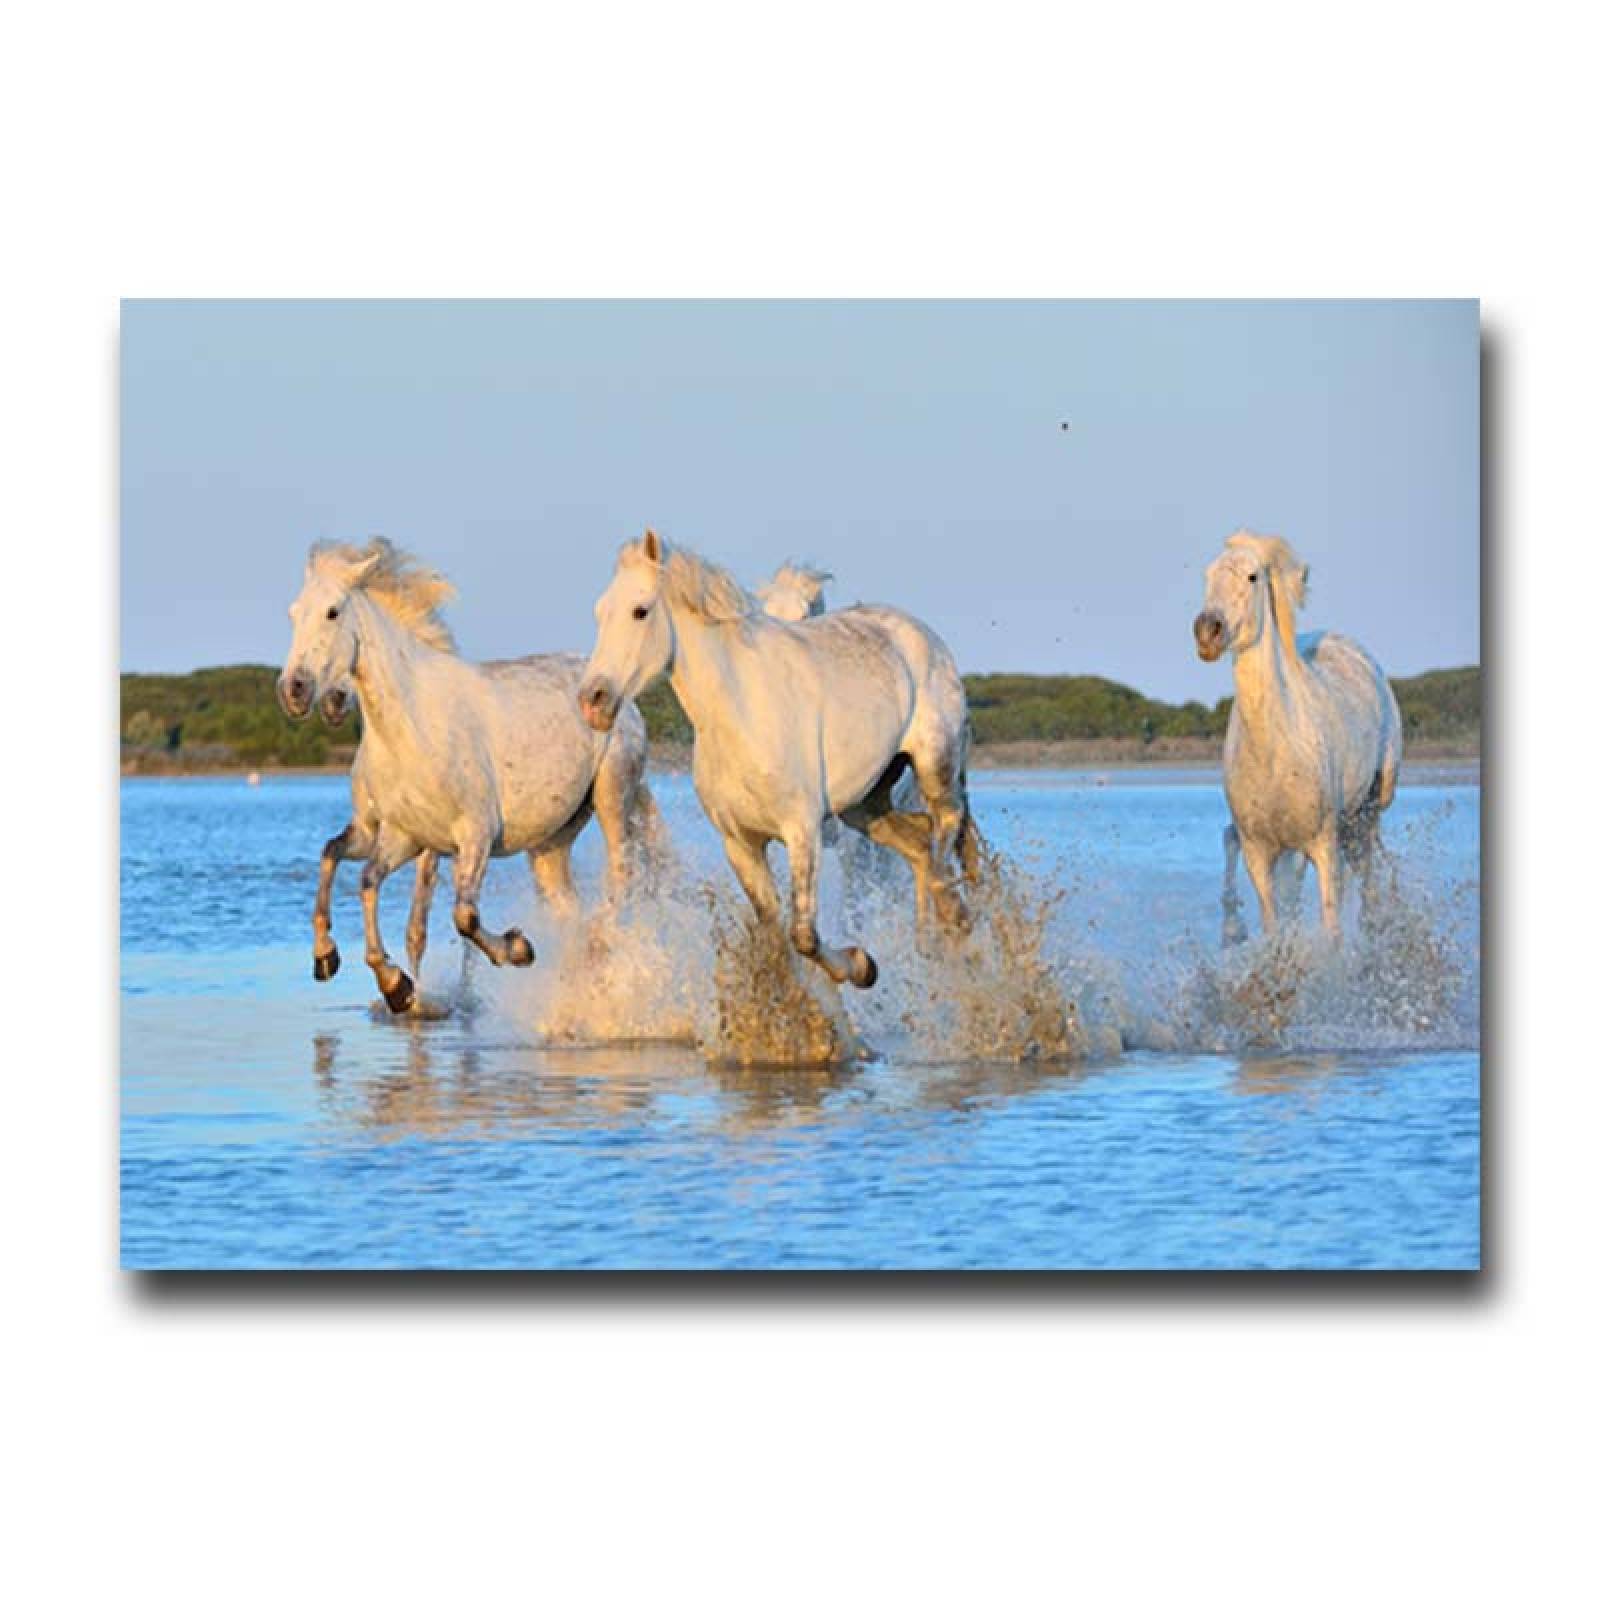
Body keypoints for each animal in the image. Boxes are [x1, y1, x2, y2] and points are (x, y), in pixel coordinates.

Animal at [279, 538, 660, 1012]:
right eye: (294, 612)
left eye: (332, 612)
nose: (294, 690)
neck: (411, 726)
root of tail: (618, 695)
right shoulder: (401, 837)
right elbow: (358, 875)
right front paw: (374, 978)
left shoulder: (473, 836)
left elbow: (462, 917)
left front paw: (517, 949)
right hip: (551, 841)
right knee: (569, 911)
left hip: (612, 798)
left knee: (623, 880)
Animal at [577, 528, 975, 987]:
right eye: (599, 612)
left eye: (640, 611)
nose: (592, 701)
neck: (742, 716)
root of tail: (923, 634)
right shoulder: (741, 843)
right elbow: (776, 936)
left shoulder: (802, 831)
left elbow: (803, 934)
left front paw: (862, 967)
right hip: (864, 804)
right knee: (920, 843)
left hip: (935, 766)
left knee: (945, 827)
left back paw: (954, 914)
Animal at [1193, 530, 1402, 939]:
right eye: (1207, 575)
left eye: (1252, 577)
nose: (1207, 632)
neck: (1275, 749)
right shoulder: (1260, 853)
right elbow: (1275, 930)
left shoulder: (1322, 845)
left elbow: (1332, 932)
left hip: (1371, 807)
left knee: (1367, 879)